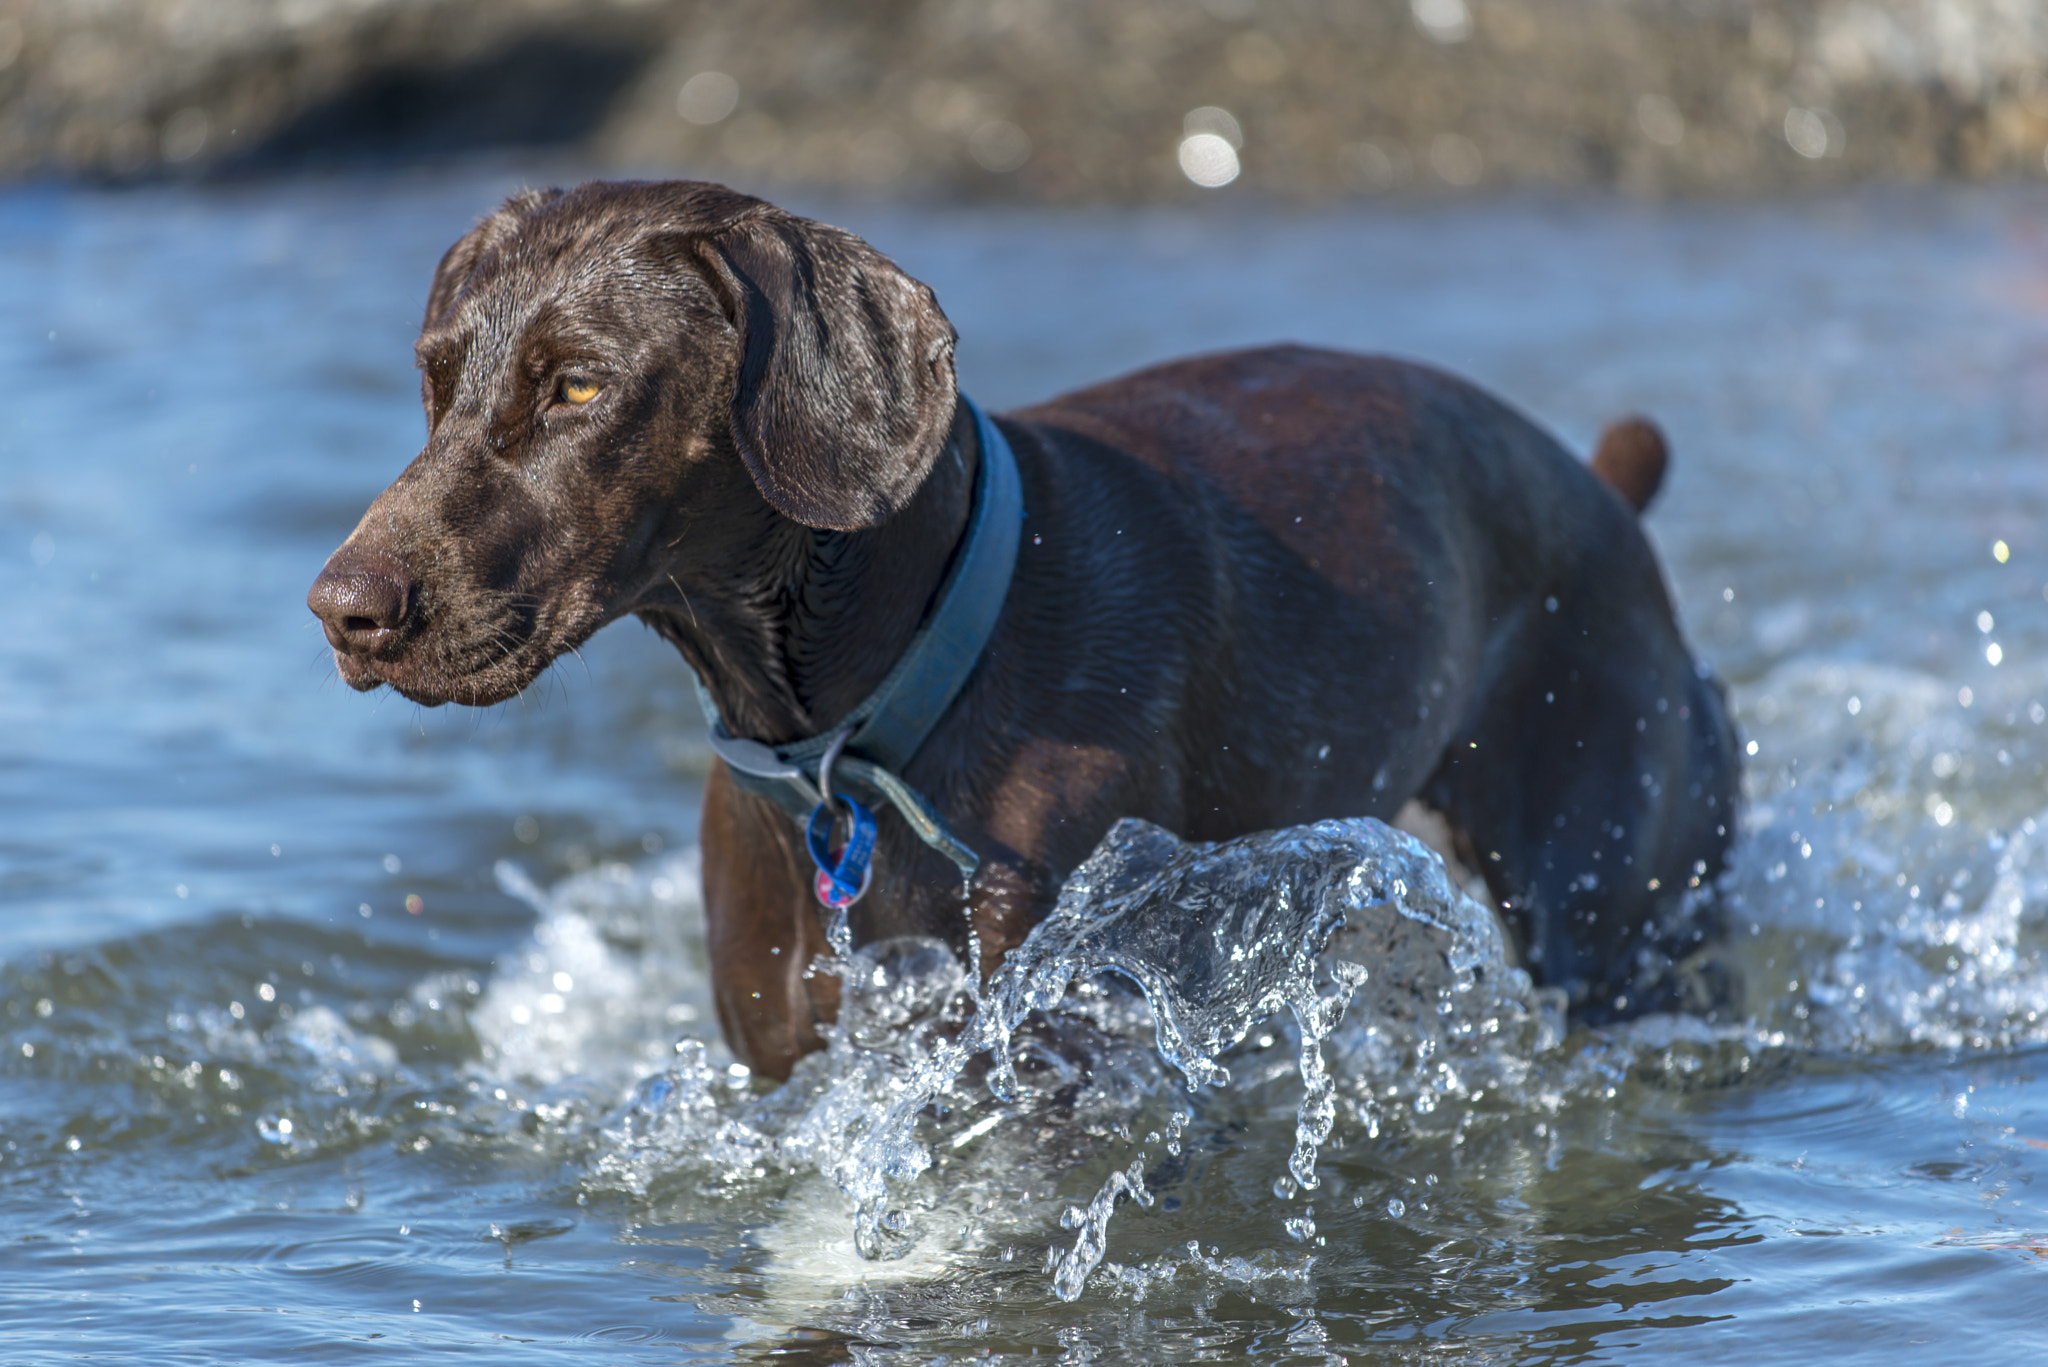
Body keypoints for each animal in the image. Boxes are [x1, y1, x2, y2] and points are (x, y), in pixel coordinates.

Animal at [311, 181, 1736, 1082]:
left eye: (578, 386)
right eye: (434, 378)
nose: (342, 610)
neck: (856, 730)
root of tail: (1603, 490)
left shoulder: (1053, 1036)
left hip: (1612, 902)